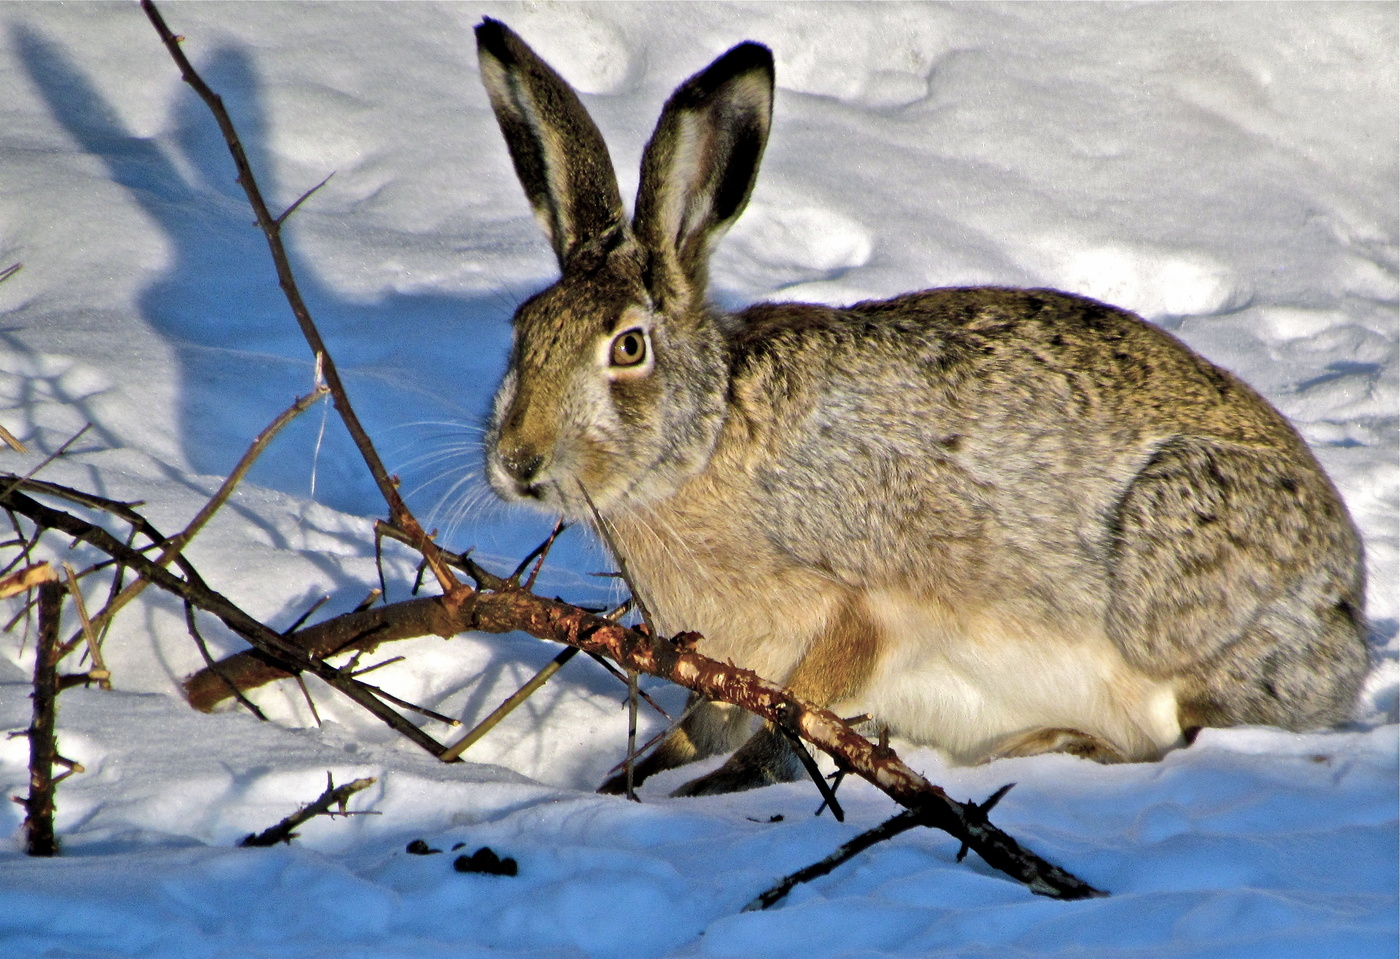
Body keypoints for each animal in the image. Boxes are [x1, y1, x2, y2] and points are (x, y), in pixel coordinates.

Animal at [473, 18, 1368, 797]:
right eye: (523, 327)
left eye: (628, 347)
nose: (518, 461)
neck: (703, 443)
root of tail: (1347, 611)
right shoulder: (718, 665)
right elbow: (698, 730)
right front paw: (621, 783)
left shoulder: (859, 612)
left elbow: (796, 718)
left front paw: (707, 791)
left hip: (1172, 567)